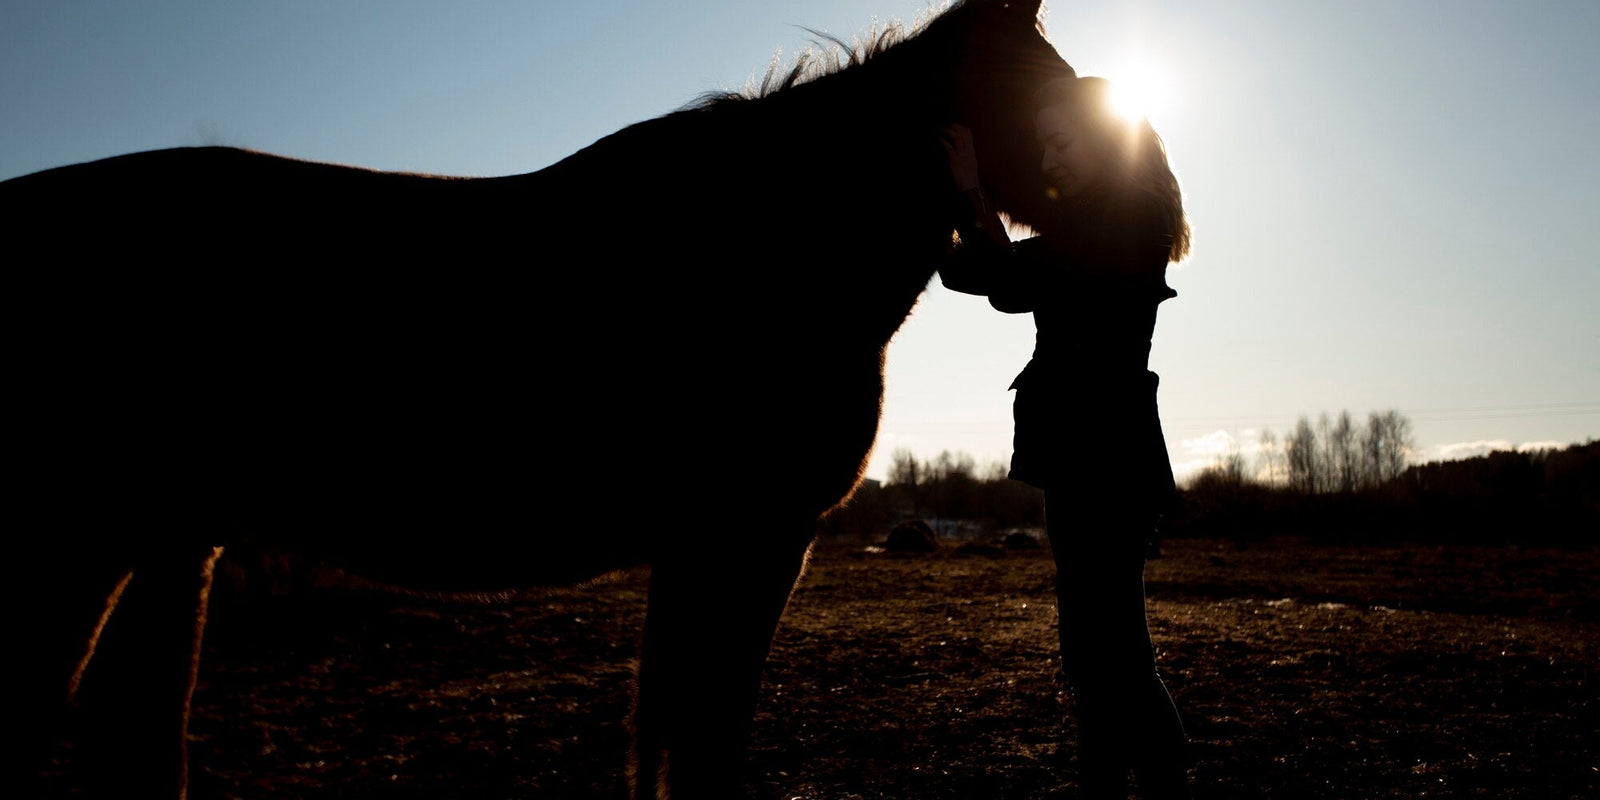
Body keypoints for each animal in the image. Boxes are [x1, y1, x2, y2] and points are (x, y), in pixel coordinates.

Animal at [3, 3, 1075, 796]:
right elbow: (705, 736)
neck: (759, 245)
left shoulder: (700, 546)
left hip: (169, 543)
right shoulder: (754, 537)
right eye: (1037, 84)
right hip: (82, 540)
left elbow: (665, 731)